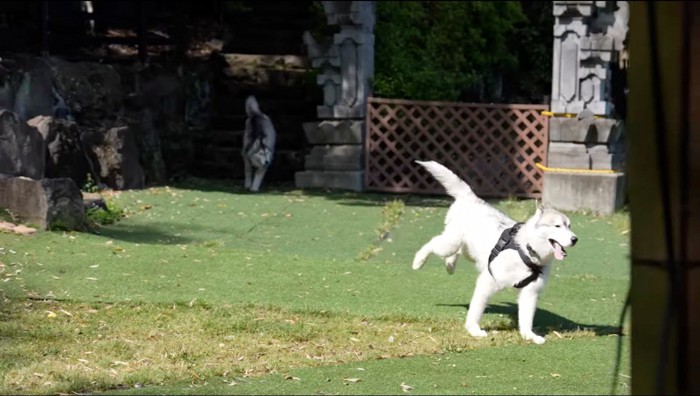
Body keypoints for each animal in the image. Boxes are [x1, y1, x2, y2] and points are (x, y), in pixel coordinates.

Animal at [412, 159, 576, 344]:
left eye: (569, 226)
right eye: (557, 226)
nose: (575, 239)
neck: (526, 252)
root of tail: (471, 198)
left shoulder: (530, 293)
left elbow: (526, 318)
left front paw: (529, 335)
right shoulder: (487, 282)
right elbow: (476, 310)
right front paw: (473, 329)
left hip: (469, 250)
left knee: (457, 252)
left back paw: (450, 265)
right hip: (450, 243)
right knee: (433, 243)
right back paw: (419, 261)